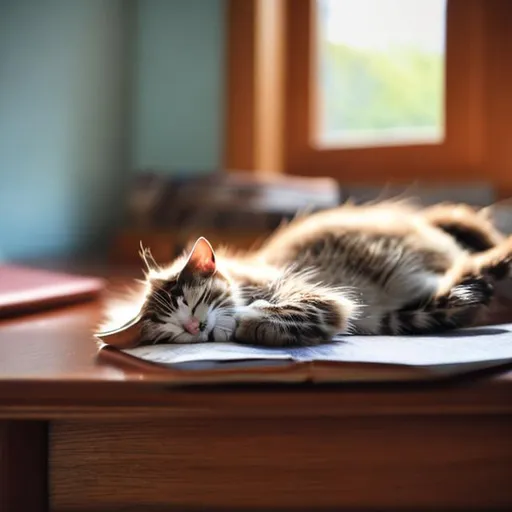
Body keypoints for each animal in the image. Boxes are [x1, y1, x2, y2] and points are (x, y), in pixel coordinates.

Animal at [109, 202, 512, 346]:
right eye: (170, 331)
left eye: (194, 302)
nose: (194, 327)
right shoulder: (391, 318)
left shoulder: (314, 292)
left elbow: (264, 313)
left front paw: (247, 320)